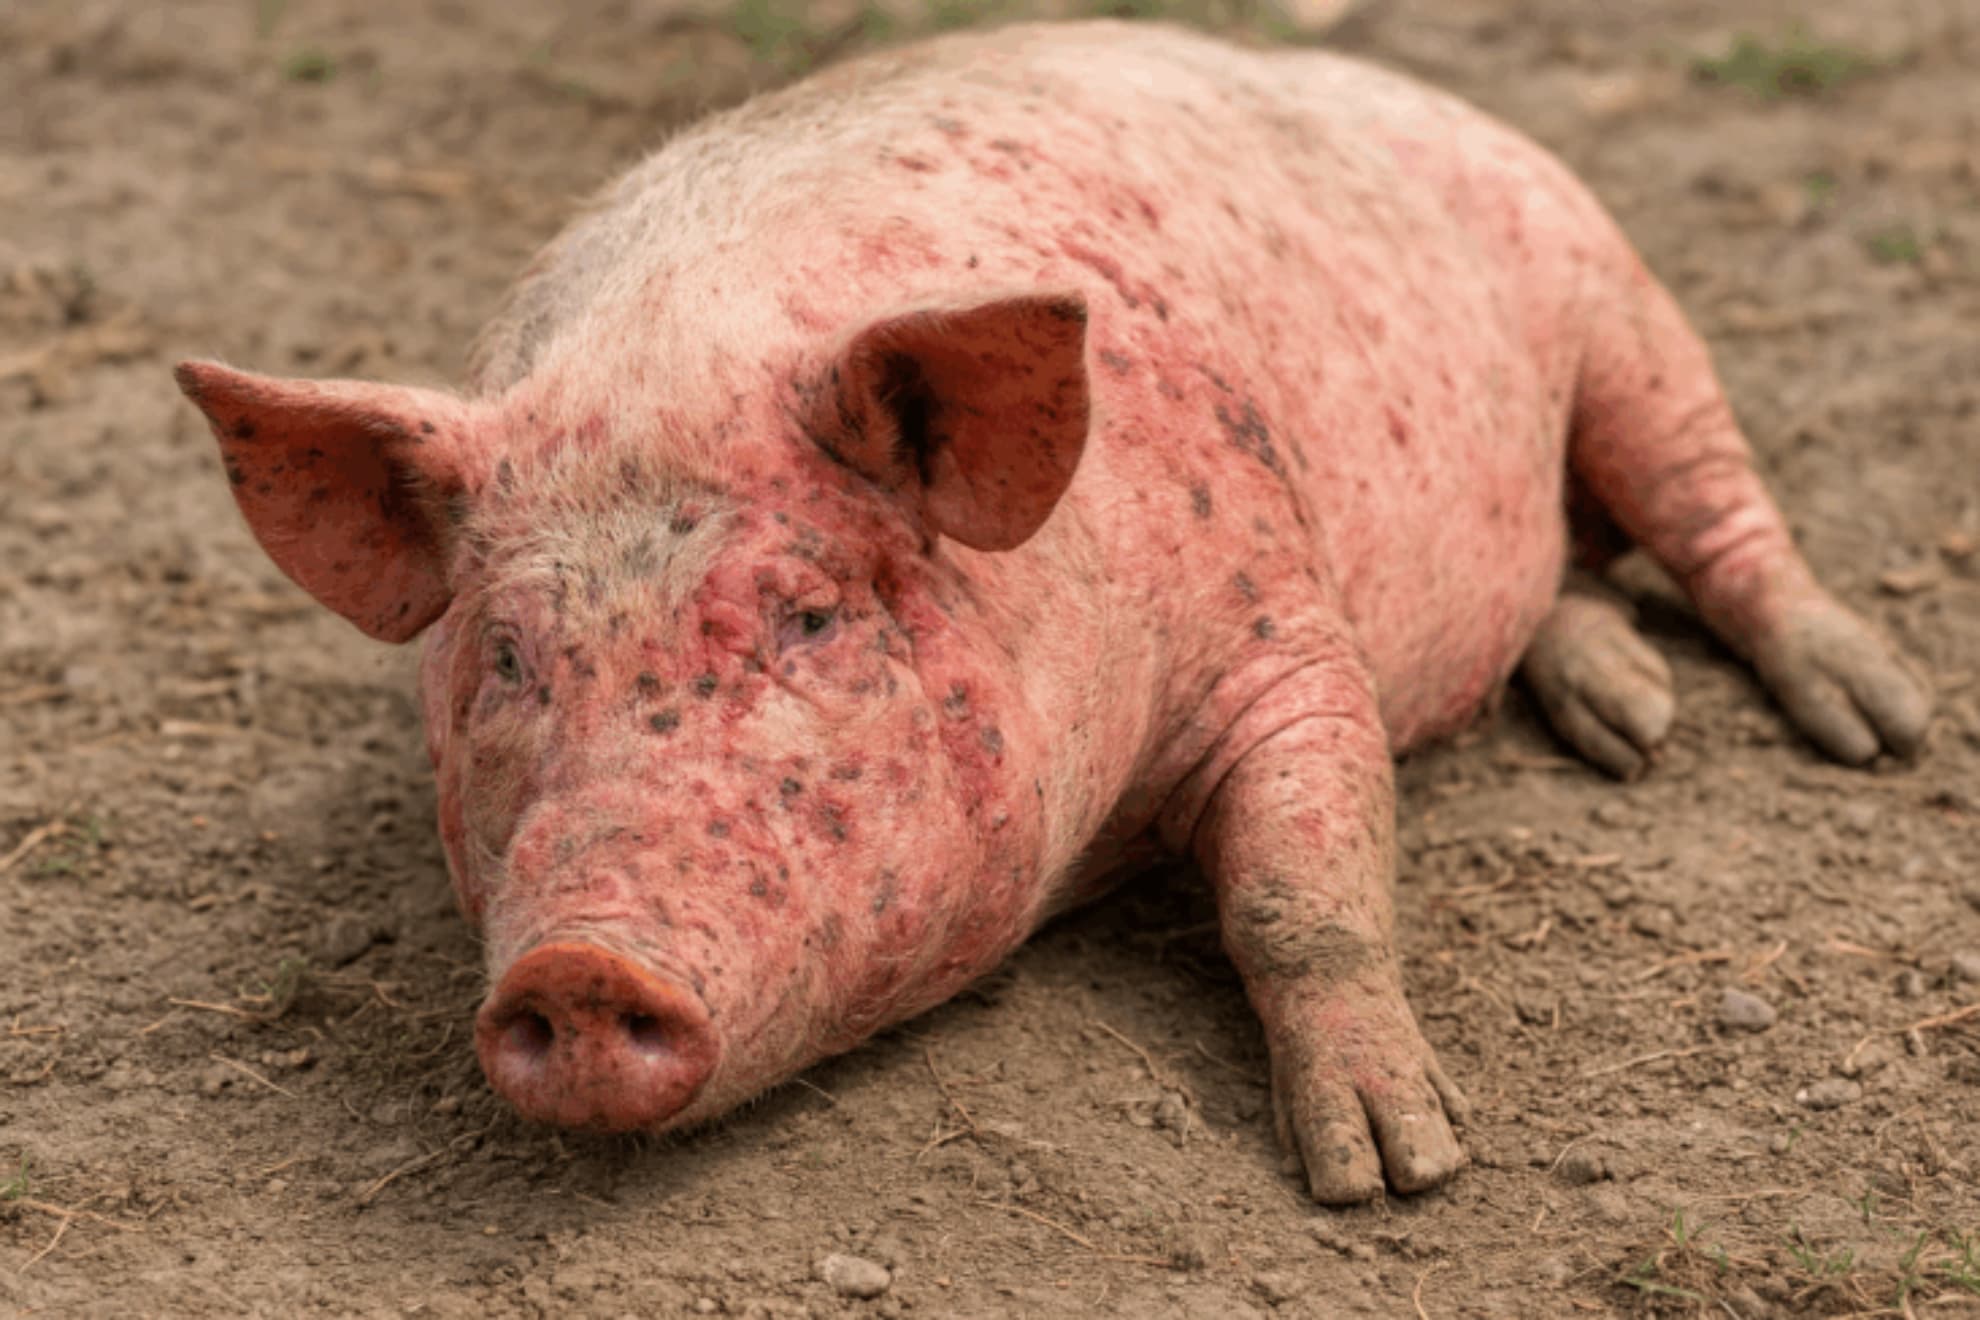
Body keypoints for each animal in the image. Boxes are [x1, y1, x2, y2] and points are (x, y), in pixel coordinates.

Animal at [174, 21, 1933, 1202]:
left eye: (810, 617)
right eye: (509, 657)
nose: (582, 969)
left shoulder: (1279, 616)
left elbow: (1299, 888)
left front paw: (1393, 1170)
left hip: (1609, 282)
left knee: (1712, 503)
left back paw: (1875, 723)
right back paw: (1629, 718)